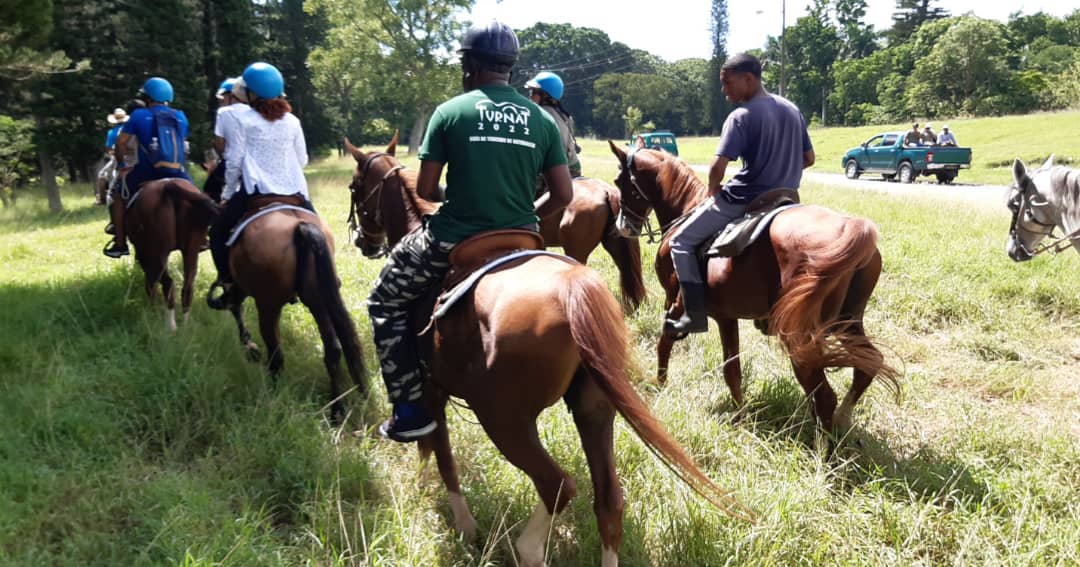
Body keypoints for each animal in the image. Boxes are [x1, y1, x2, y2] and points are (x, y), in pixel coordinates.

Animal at [123, 177, 219, 326]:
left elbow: (151, 283)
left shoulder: (144, 254)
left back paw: (170, 324)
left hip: (158, 253)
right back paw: (185, 325)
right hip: (190, 250)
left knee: (166, 284)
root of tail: (169, 186)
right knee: (188, 286)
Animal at [222, 196, 367, 416]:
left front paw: (248, 343)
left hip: (268, 304)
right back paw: (336, 409)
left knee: (276, 355)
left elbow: (236, 307)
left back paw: (272, 396)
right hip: (318, 298)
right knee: (333, 350)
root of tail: (300, 227)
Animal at [604, 143, 898, 432]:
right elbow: (733, 371)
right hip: (847, 322)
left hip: (800, 335)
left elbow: (665, 343)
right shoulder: (726, 317)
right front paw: (740, 415)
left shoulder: (675, 304)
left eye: (619, 181)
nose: (622, 226)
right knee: (868, 364)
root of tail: (851, 229)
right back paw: (842, 420)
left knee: (823, 394)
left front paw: (660, 384)